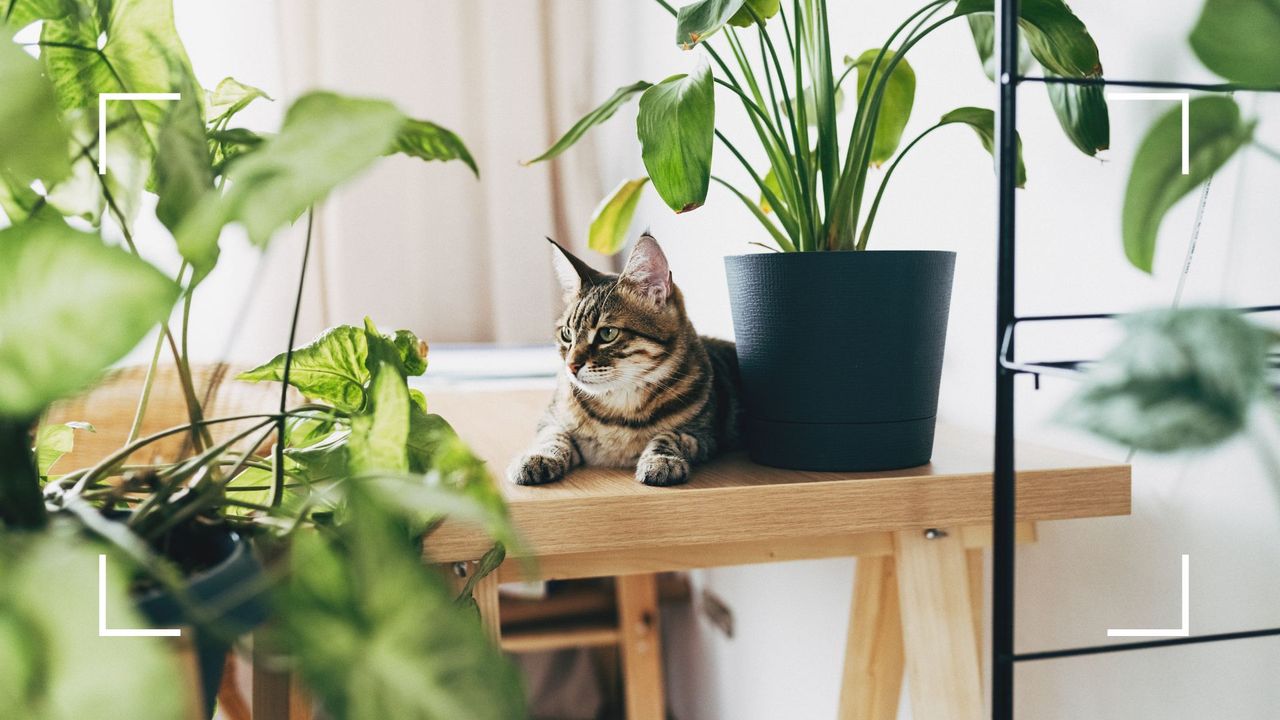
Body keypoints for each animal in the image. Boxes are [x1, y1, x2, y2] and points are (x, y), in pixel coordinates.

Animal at [506, 233, 742, 484]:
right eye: (567, 334)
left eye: (607, 333)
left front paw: (661, 460)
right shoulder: (550, 419)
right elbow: (553, 435)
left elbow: (668, 436)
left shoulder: (703, 435)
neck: (620, 406)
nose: (571, 366)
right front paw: (538, 456)